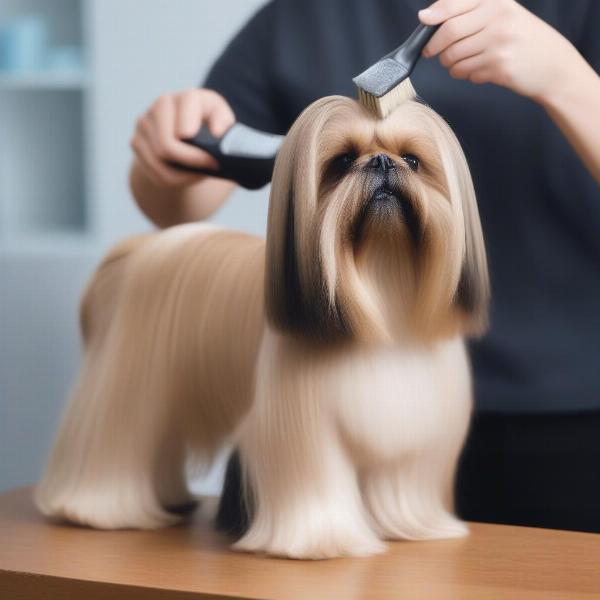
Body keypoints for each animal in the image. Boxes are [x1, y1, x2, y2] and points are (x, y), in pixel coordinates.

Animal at [36, 92, 488, 556]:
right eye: (342, 161)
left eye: (413, 160)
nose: (381, 161)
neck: (383, 285)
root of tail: (133, 253)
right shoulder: (303, 424)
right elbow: (316, 478)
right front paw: (323, 541)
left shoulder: (411, 430)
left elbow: (401, 480)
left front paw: (412, 526)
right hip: (125, 389)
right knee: (111, 443)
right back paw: (95, 509)